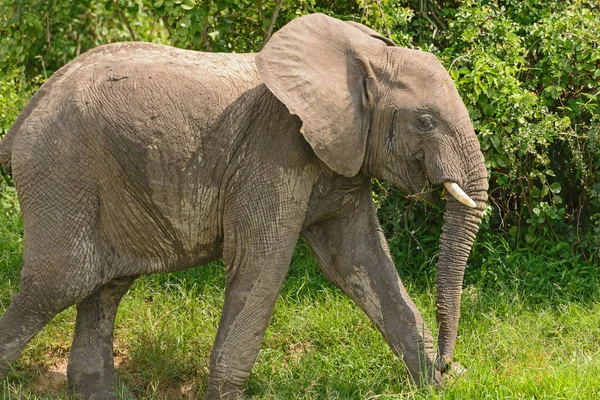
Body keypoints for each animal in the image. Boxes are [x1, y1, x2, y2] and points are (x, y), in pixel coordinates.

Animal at [0, 12, 488, 400]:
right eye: (425, 122)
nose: (451, 363)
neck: (361, 58)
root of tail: (27, 111)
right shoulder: (273, 150)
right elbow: (261, 267)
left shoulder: (341, 157)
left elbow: (361, 261)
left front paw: (436, 385)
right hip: (61, 168)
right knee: (59, 282)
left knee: (106, 285)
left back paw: (104, 394)